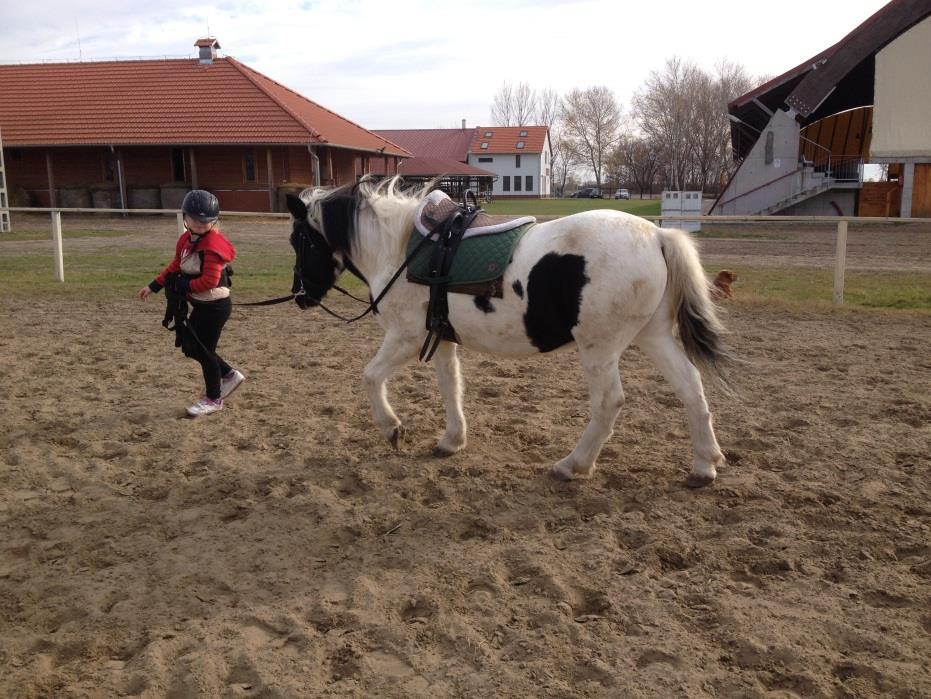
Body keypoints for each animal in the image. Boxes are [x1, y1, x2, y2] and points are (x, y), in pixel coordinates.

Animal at [288, 178, 732, 490]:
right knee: (690, 387)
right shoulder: (442, 338)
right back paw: (704, 464)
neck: (400, 250)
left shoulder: (405, 338)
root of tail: (657, 235)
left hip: (599, 348)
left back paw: (573, 465)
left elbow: (369, 377)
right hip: (654, 336)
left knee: (609, 403)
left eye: (300, 240)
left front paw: (392, 428)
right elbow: (450, 387)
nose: (299, 297)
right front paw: (452, 440)